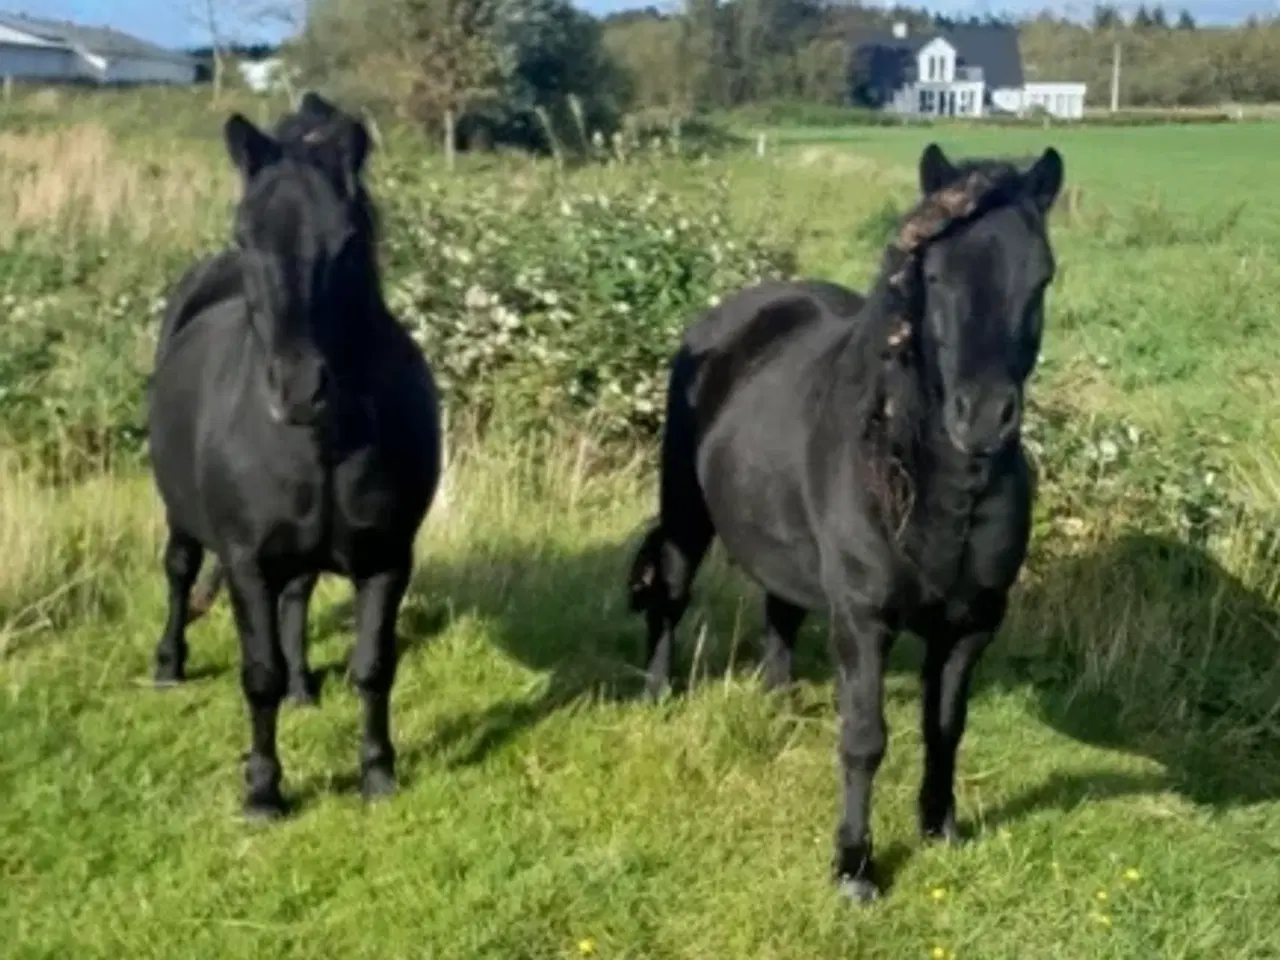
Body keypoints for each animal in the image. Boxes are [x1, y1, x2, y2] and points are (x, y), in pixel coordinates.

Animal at [146, 96, 440, 819]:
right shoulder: (247, 562)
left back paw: (307, 687)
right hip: (179, 515)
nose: (299, 389)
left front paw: (377, 774)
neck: (324, 442)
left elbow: (374, 666)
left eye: (347, 240)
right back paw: (168, 666)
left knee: (299, 596)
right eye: (245, 236)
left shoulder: (387, 558)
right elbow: (258, 675)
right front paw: (262, 792)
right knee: (178, 571)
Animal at [627, 140, 1059, 901]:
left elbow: (945, 727)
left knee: (780, 610)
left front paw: (940, 827)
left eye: (1040, 276)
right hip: (683, 511)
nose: (982, 418)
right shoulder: (863, 618)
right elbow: (864, 737)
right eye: (934, 275)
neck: (933, 487)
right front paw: (855, 867)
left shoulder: (971, 625)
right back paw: (657, 695)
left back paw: (778, 704)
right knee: (671, 598)